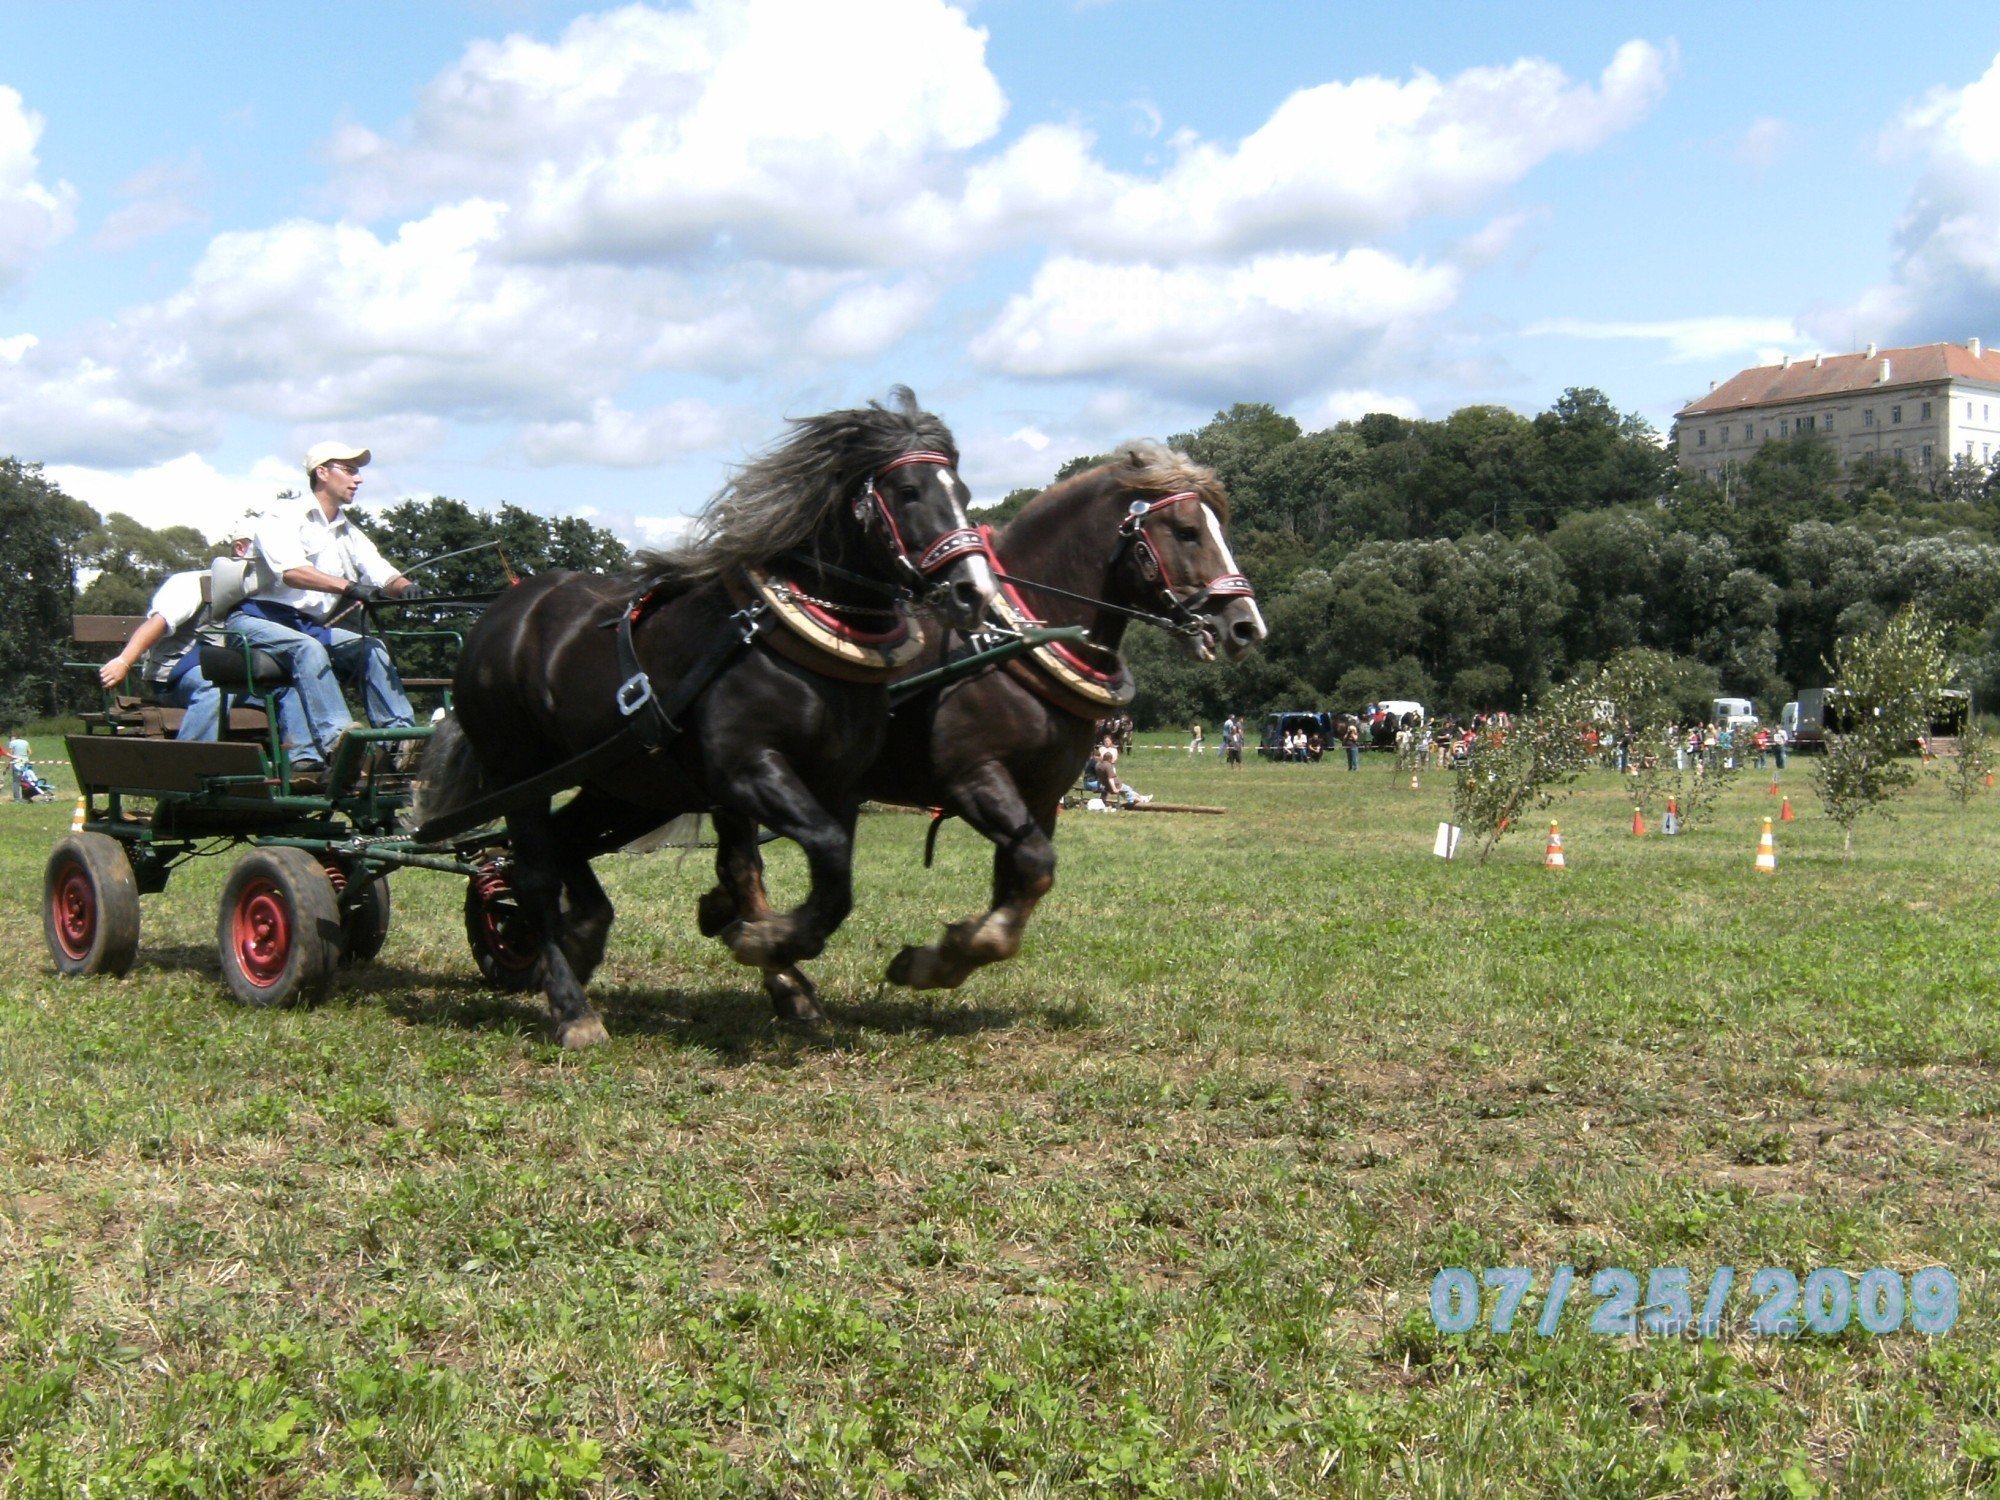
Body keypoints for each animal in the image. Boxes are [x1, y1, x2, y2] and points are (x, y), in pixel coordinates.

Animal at [418, 388, 996, 1048]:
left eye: (963, 490)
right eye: (908, 491)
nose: (973, 593)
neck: (781, 640)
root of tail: (500, 614)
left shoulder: (835, 783)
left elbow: (792, 873)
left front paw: (772, 960)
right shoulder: (749, 771)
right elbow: (819, 862)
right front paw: (769, 941)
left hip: (626, 783)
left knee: (567, 844)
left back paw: (584, 934)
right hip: (519, 773)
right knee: (534, 874)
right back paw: (571, 1006)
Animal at [704, 440, 1264, 1016]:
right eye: (1187, 530)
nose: (1247, 626)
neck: (1014, 645)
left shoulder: (1039, 798)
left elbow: (1022, 883)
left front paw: (946, 958)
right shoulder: (974, 778)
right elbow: (1035, 867)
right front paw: (941, 957)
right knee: (743, 867)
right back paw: (778, 966)